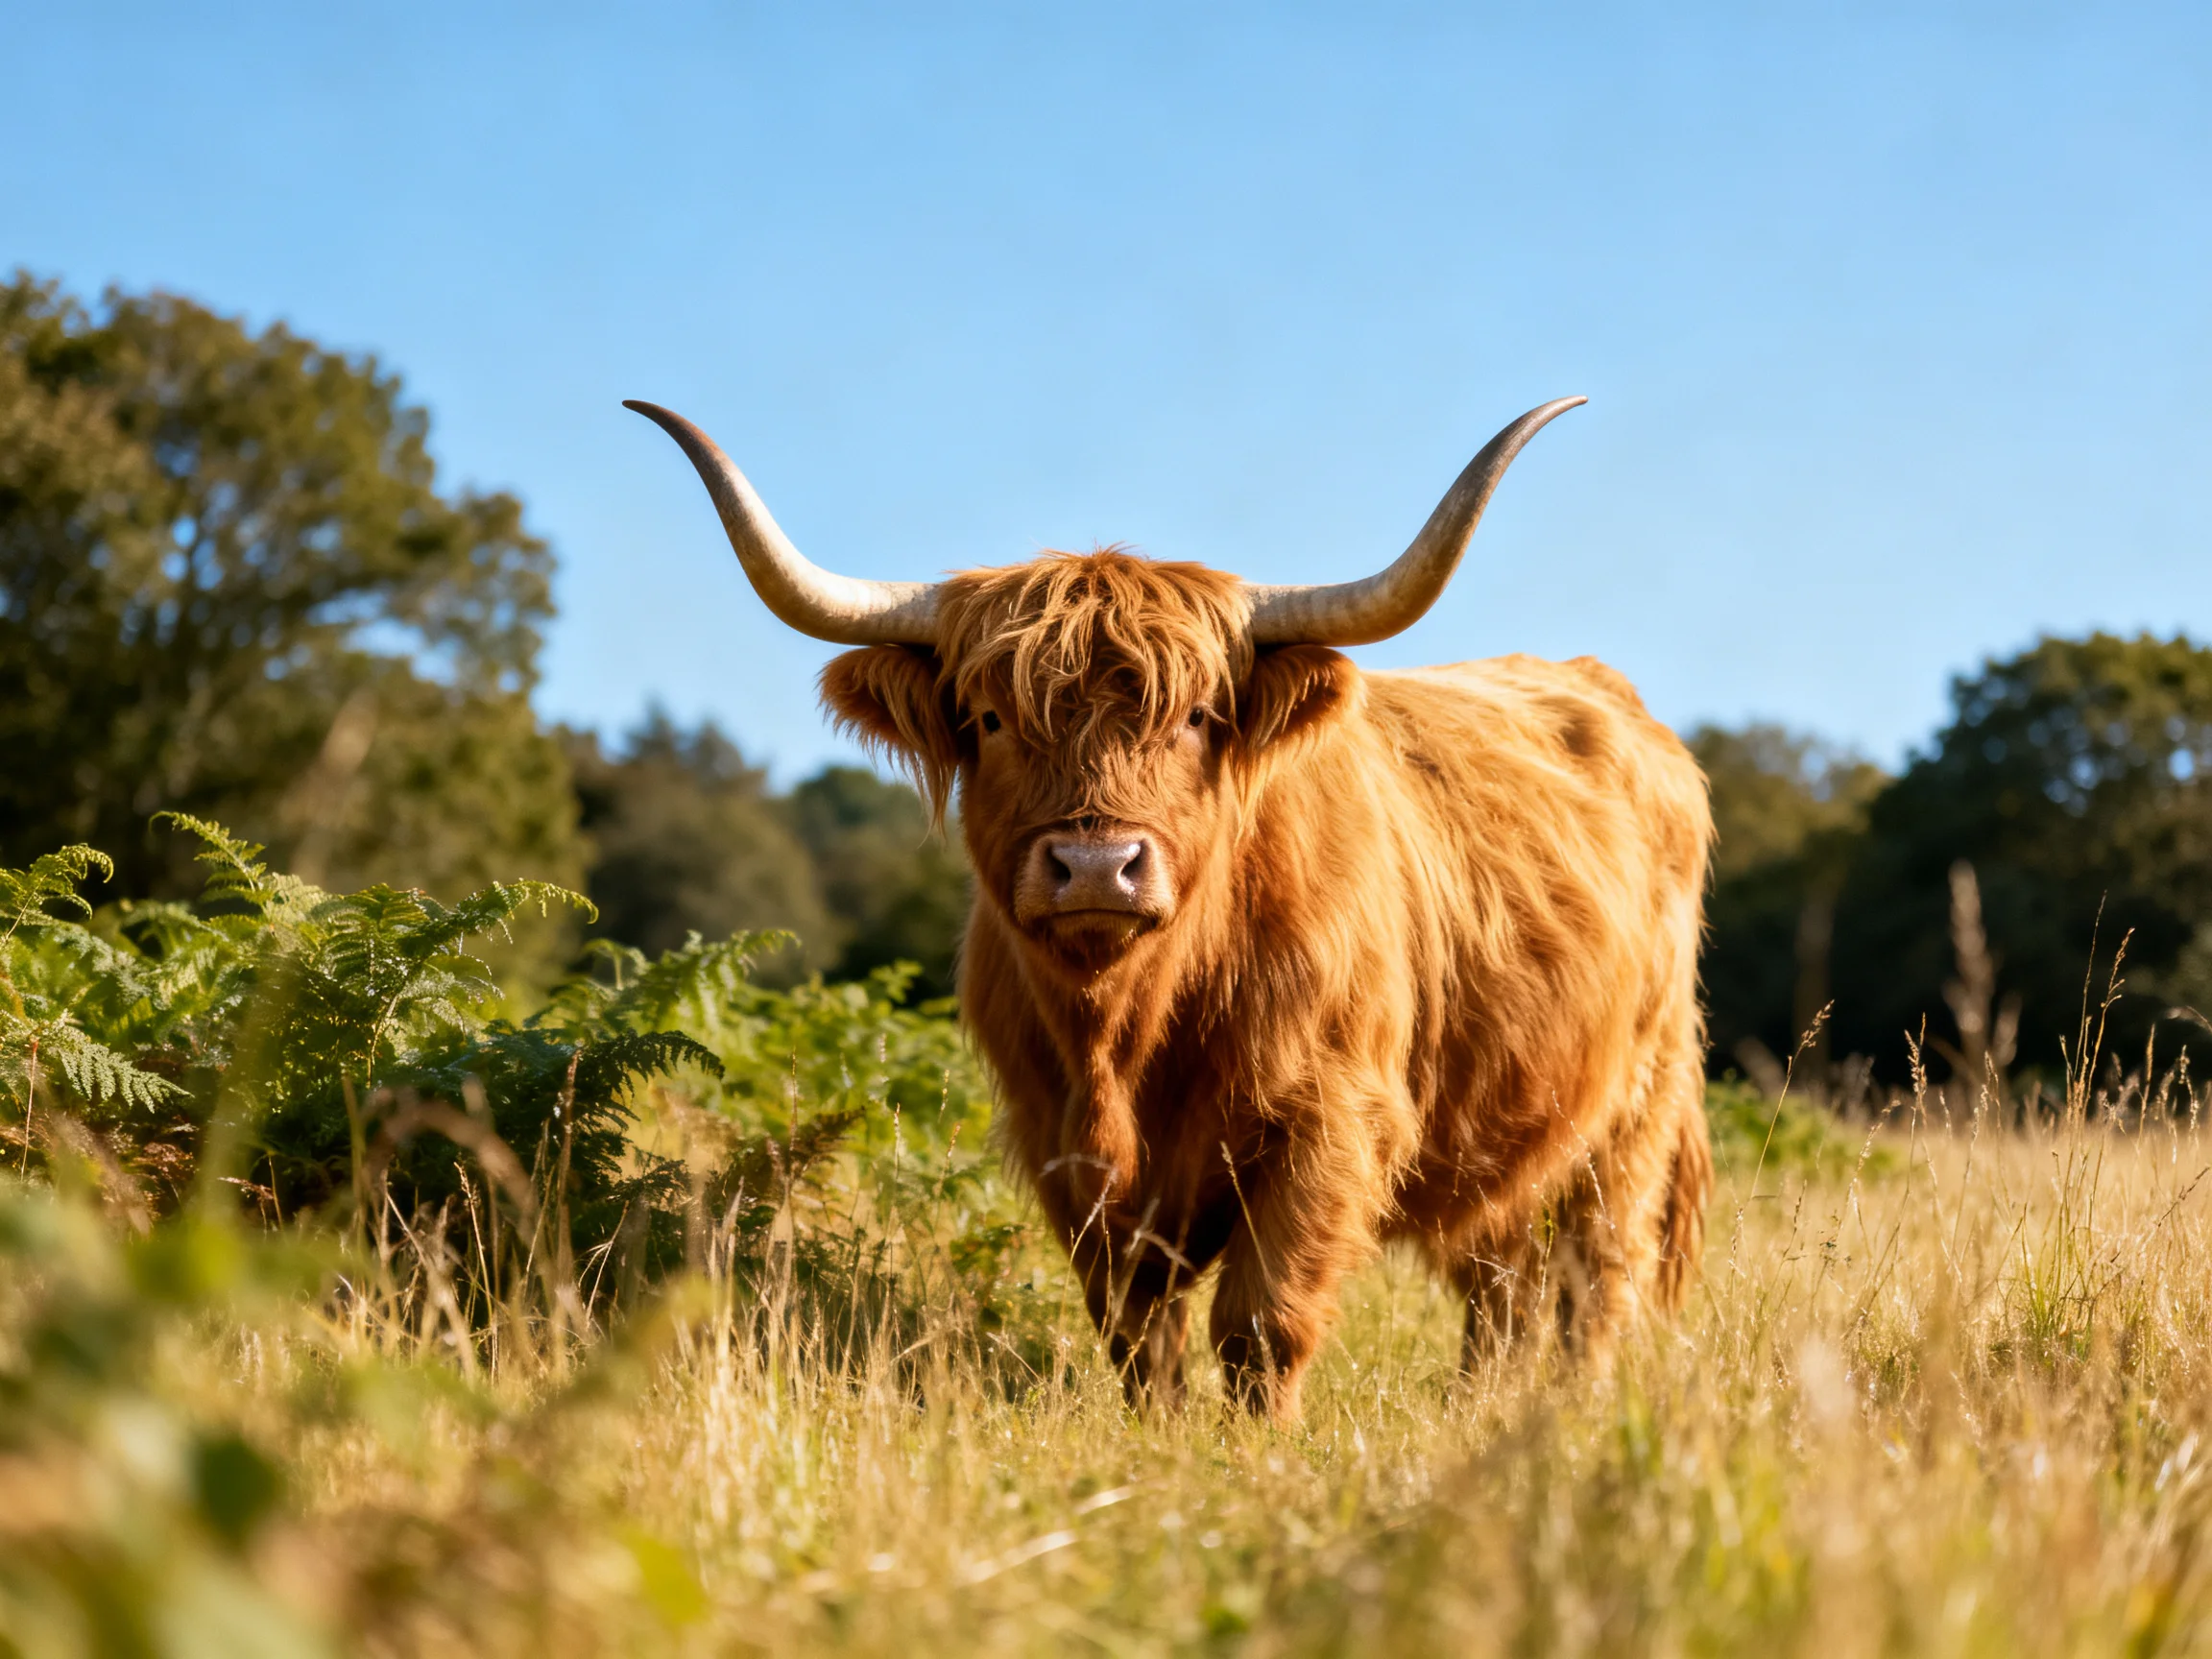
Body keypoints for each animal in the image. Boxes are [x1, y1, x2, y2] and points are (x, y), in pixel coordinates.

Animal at [627, 395, 1714, 1422]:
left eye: (1194, 717)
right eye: (990, 719)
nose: (1096, 866)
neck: (1130, 1027)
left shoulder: (1330, 1121)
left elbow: (1262, 1323)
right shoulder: (1065, 1150)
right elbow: (1138, 1332)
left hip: (1631, 1116)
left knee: (1589, 1282)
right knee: (1504, 1287)